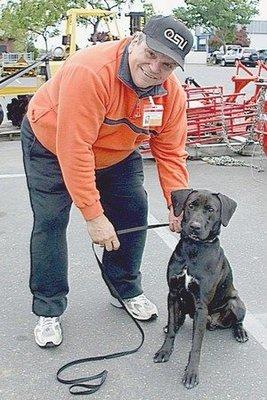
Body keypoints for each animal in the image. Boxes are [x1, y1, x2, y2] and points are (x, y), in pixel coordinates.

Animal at [154, 189, 250, 390]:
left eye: (211, 209)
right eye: (191, 205)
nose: (194, 226)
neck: (194, 248)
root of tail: (214, 322)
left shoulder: (201, 305)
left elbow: (196, 345)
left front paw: (191, 373)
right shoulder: (173, 294)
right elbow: (172, 329)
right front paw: (165, 351)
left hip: (235, 303)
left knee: (238, 320)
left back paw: (240, 332)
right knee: (179, 318)